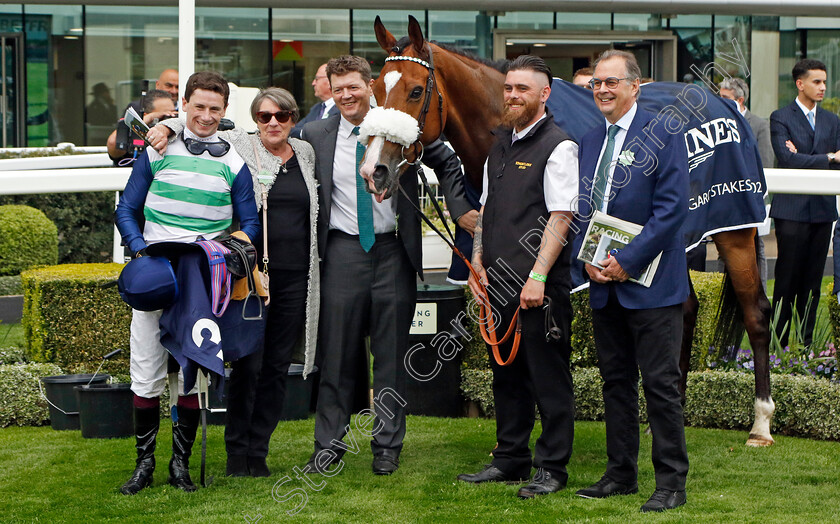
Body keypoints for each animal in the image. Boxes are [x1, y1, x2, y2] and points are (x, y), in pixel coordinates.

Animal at [364, 15, 776, 446]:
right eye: (375, 90)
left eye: (415, 90)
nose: (374, 169)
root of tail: (723, 102)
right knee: (684, 308)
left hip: (734, 229)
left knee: (756, 313)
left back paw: (761, 423)